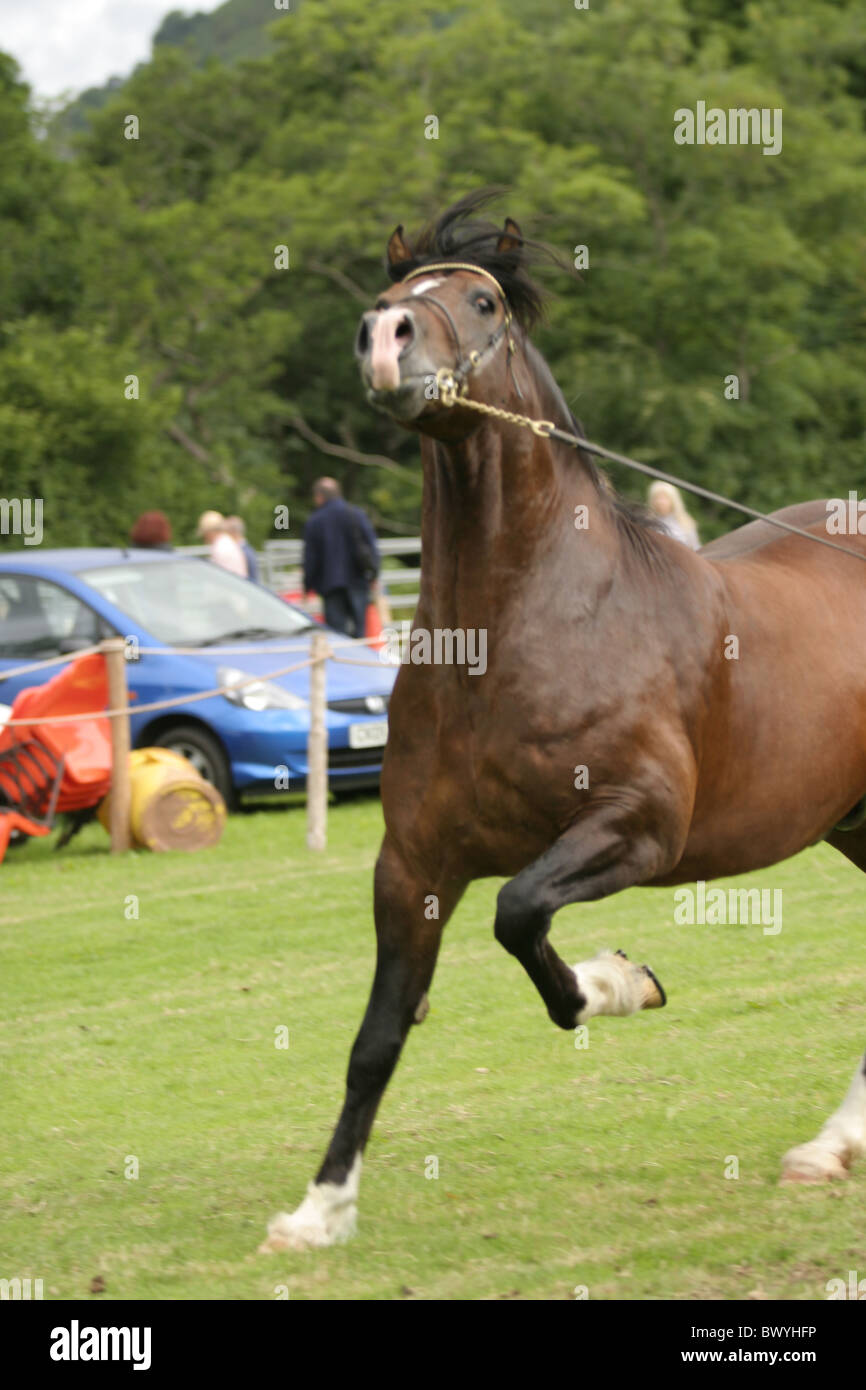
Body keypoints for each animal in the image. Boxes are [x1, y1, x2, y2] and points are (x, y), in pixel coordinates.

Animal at [261, 193, 866, 1251]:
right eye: (390, 291)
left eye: (484, 301)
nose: (385, 339)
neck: (517, 633)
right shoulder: (413, 864)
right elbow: (377, 1037)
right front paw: (319, 1211)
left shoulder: (638, 827)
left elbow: (519, 915)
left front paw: (619, 982)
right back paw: (828, 1149)